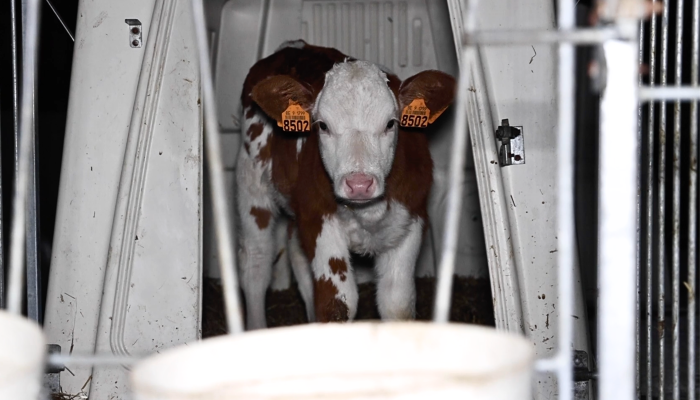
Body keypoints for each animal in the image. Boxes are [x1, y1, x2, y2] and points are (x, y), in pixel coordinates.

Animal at [236, 40, 456, 330]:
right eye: (323, 126)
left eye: (391, 123)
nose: (359, 184)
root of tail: (294, 46)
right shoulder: (318, 219)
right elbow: (337, 306)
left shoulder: (412, 219)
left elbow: (397, 305)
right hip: (251, 178)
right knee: (256, 261)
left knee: (295, 251)